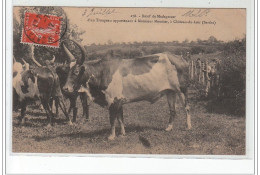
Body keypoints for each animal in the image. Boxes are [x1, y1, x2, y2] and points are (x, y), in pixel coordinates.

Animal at [63, 43, 191, 140]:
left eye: (76, 71)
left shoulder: (113, 101)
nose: (65, 88)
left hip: (182, 90)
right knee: (172, 110)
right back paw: (168, 128)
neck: (102, 72)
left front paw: (111, 136)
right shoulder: (119, 101)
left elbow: (112, 119)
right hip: (170, 91)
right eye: (67, 70)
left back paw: (188, 127)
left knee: (187, 108)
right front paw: (122, 133)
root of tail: (180, 58)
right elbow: (120, 118)